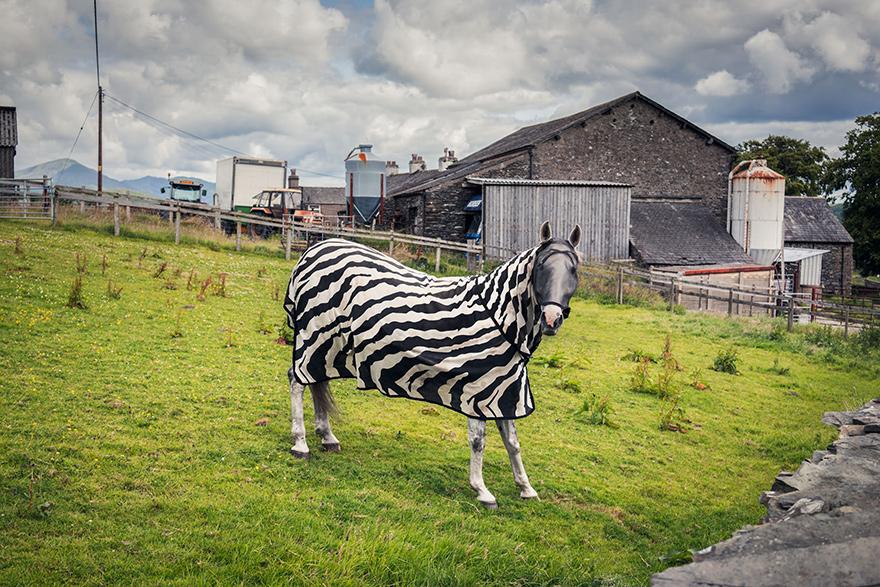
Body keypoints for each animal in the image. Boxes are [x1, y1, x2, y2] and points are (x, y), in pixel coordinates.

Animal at [283, 222, 581, 508]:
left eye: (574, 269)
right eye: (541, 266)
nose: (552, 319)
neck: (499, 315)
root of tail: (314, 250)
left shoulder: (504, 390)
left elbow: (513, 443)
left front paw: (526, 488)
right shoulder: (478, 389)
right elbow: (478, 442)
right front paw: (482, 491)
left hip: (328, 347)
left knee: (317, 382)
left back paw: (327, 437)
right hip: (314, 336)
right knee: (297, 381)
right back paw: (300, 444)